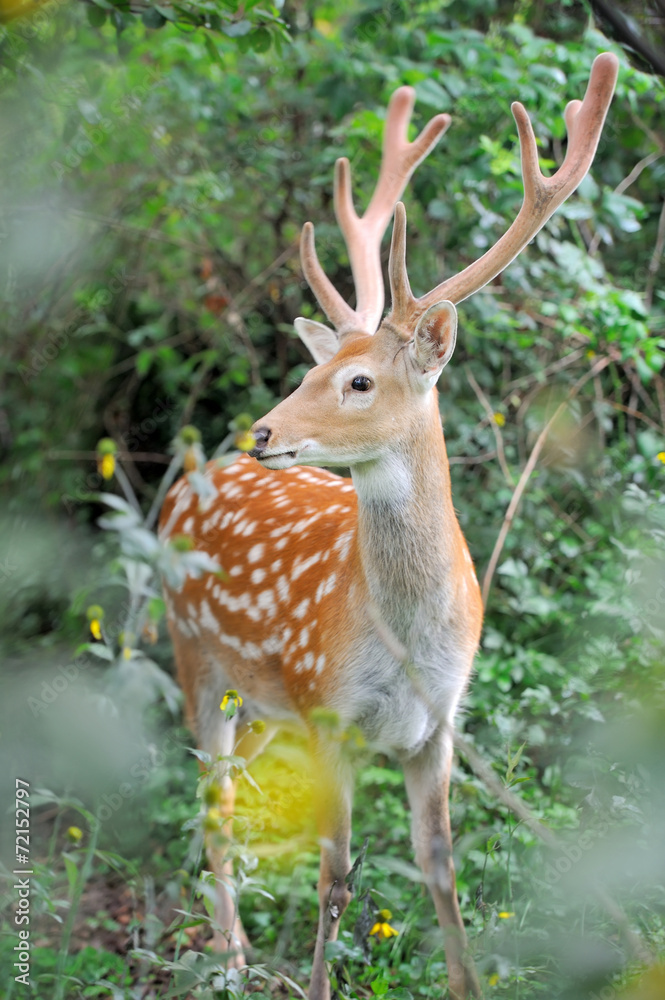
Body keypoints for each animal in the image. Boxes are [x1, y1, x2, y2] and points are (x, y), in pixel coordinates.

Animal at [160, 52, 616, 1000]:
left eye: (359, 381)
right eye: (312, 368)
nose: (262, 432)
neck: (408, 638)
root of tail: (190, 479)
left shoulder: (437, 725)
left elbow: (440, 865)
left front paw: (464, 982)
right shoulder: (330, 714)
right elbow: (335, 877)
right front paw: (318, 984)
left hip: (265, 701)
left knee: (238, 790)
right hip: (194, 656)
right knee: (214, 799)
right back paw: (229, 953)